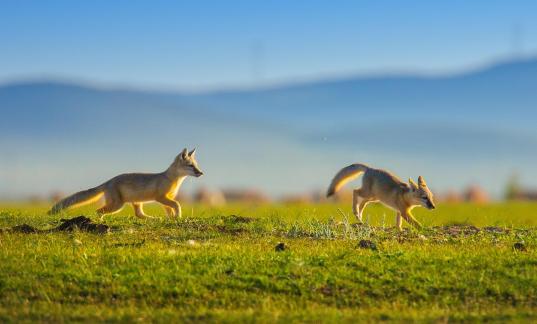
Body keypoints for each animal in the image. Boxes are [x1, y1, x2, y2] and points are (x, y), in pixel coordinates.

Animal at [48, 148, 203, 219]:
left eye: (196, 165)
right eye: (191, 166)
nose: (201, 173)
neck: (171, 179)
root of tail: (108, 181)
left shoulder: (166, 199)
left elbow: (170, 209)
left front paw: (172, 218)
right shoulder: (161, 197)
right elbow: (176, 204)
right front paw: (178, 216)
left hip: (136, 203)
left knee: (139, 215)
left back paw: (153, 219)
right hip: (117, 205)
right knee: (98, 211)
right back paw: (100, 222)